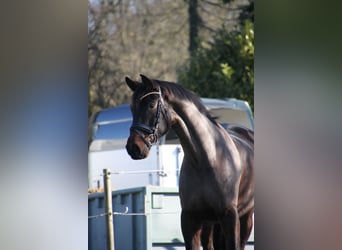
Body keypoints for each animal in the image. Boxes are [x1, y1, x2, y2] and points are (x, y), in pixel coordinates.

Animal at [125, 74, 254, 250]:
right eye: (132, 108)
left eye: (151, 105)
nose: (134, 147)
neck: (206, 159)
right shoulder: (190, 219)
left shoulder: (230, 216)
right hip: (210, 224)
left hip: (245, 217)